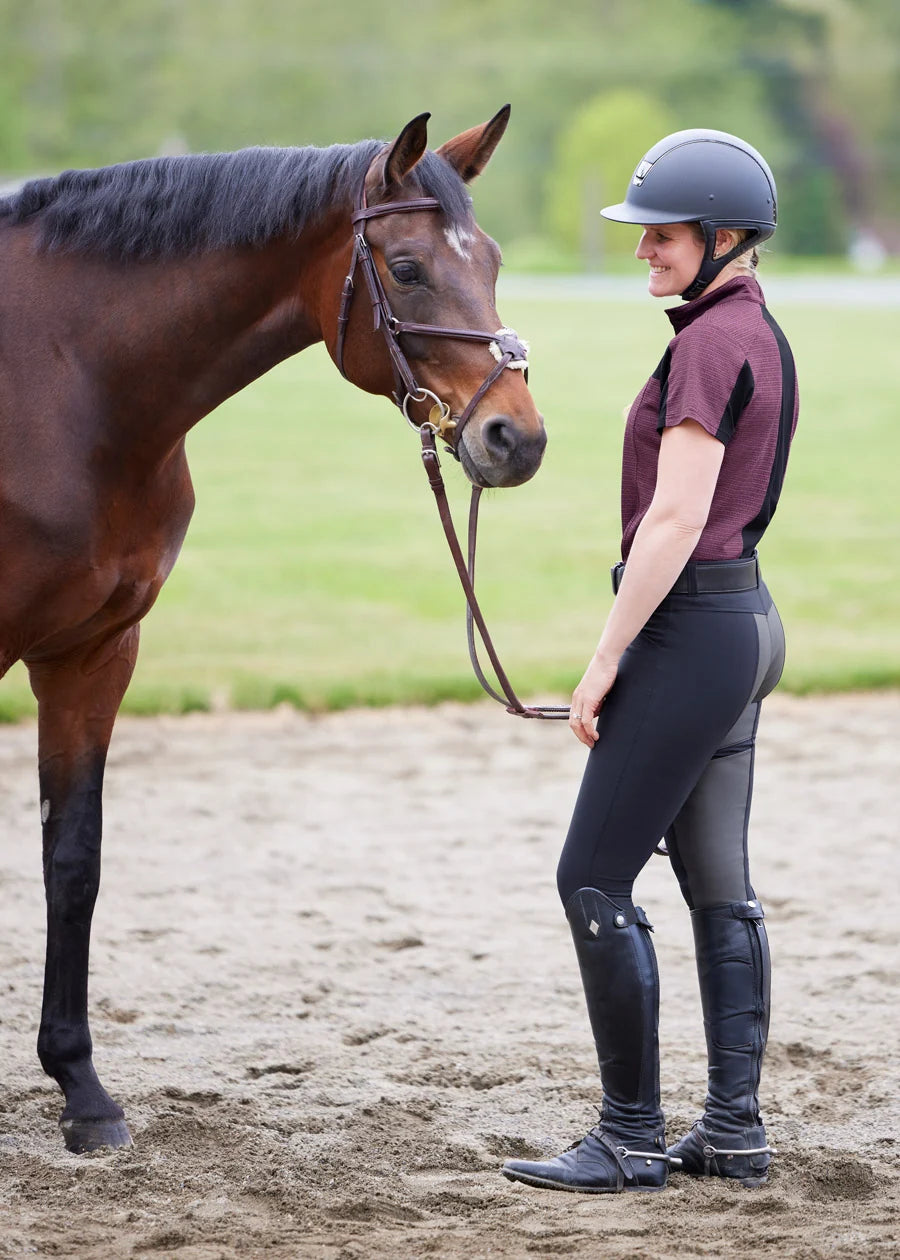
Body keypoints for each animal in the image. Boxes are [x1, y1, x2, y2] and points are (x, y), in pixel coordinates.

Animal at [0, 106, 546, 1153]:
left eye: (493, 260)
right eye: (407, 267)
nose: (518, 437)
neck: (60, 380)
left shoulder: (93, 654)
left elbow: (72, 861)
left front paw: (83, 1092)